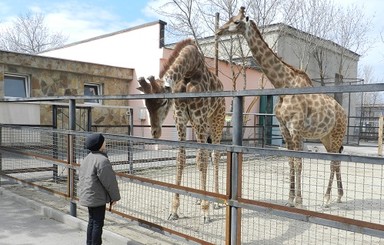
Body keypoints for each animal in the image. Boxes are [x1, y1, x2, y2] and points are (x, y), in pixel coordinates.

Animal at [137, 38, 225, 222]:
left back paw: (215, 201)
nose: (155, 132)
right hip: (202, 124)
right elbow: (181, 159)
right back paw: (200, 199)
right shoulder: (181, 119)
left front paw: (205, 211)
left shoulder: (199, 117)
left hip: (215, 120)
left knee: (215, 154)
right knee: (206, 155)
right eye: (146, 104)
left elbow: (201, 159)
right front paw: (174, 210)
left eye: (163, 102)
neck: (189, 72)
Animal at [216, 6, 348, 208]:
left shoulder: (296, 127)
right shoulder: (285, 128)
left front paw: (299, 201)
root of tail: (344, 112)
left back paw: (326, 199)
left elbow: (298, 162)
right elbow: (290, 162)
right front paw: (290, 199)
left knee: (334, 162)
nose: (218, 31)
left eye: (236, 21)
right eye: (230, 19)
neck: (284, 85)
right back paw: (339, 196)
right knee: (336, 160)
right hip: (326, 136)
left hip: (337, 133)